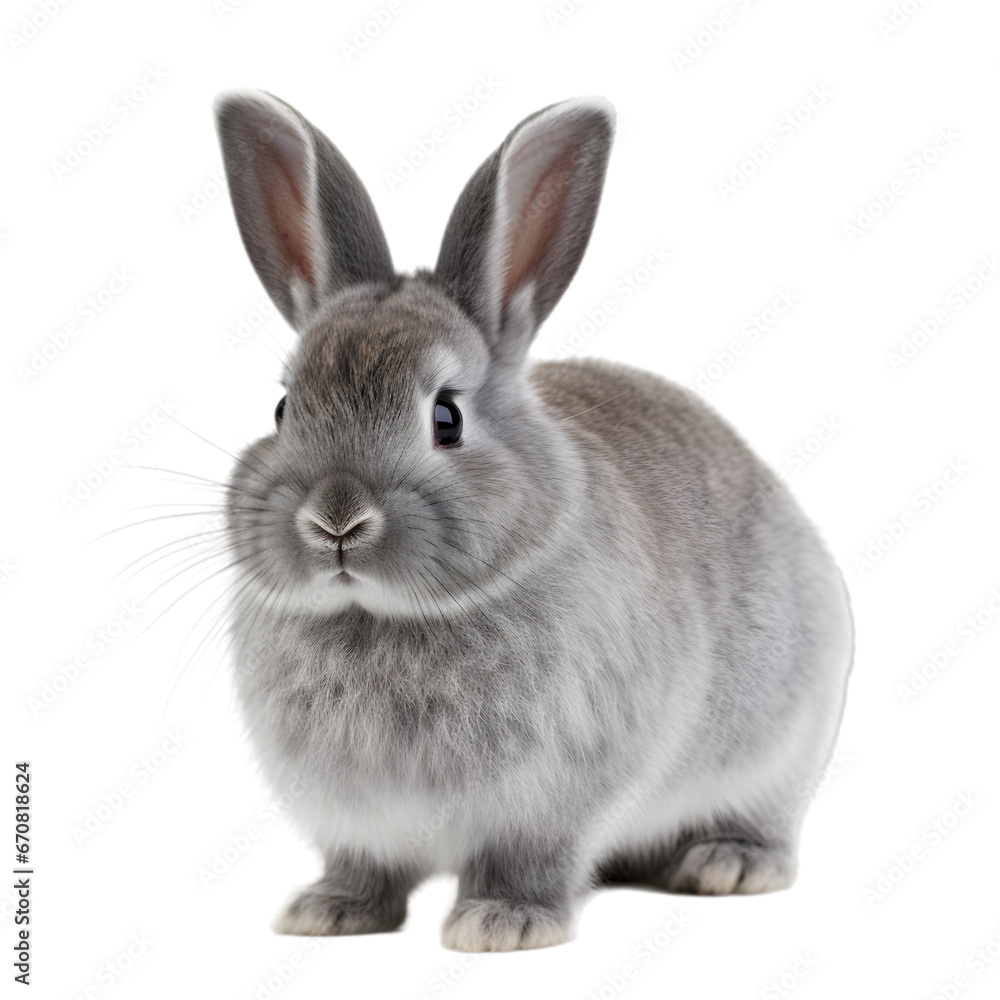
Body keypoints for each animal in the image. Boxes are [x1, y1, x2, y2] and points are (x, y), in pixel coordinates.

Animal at [212, 89, 853, 952]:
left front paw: (502, 924)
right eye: (283, 409)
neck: (384, 617)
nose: (336, 521)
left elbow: (529, 861)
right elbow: (364, 867)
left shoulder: (553, 799)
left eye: (446, 418)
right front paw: (330, 912)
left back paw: (727, 863)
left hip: (787, 738)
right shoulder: (356, 822)